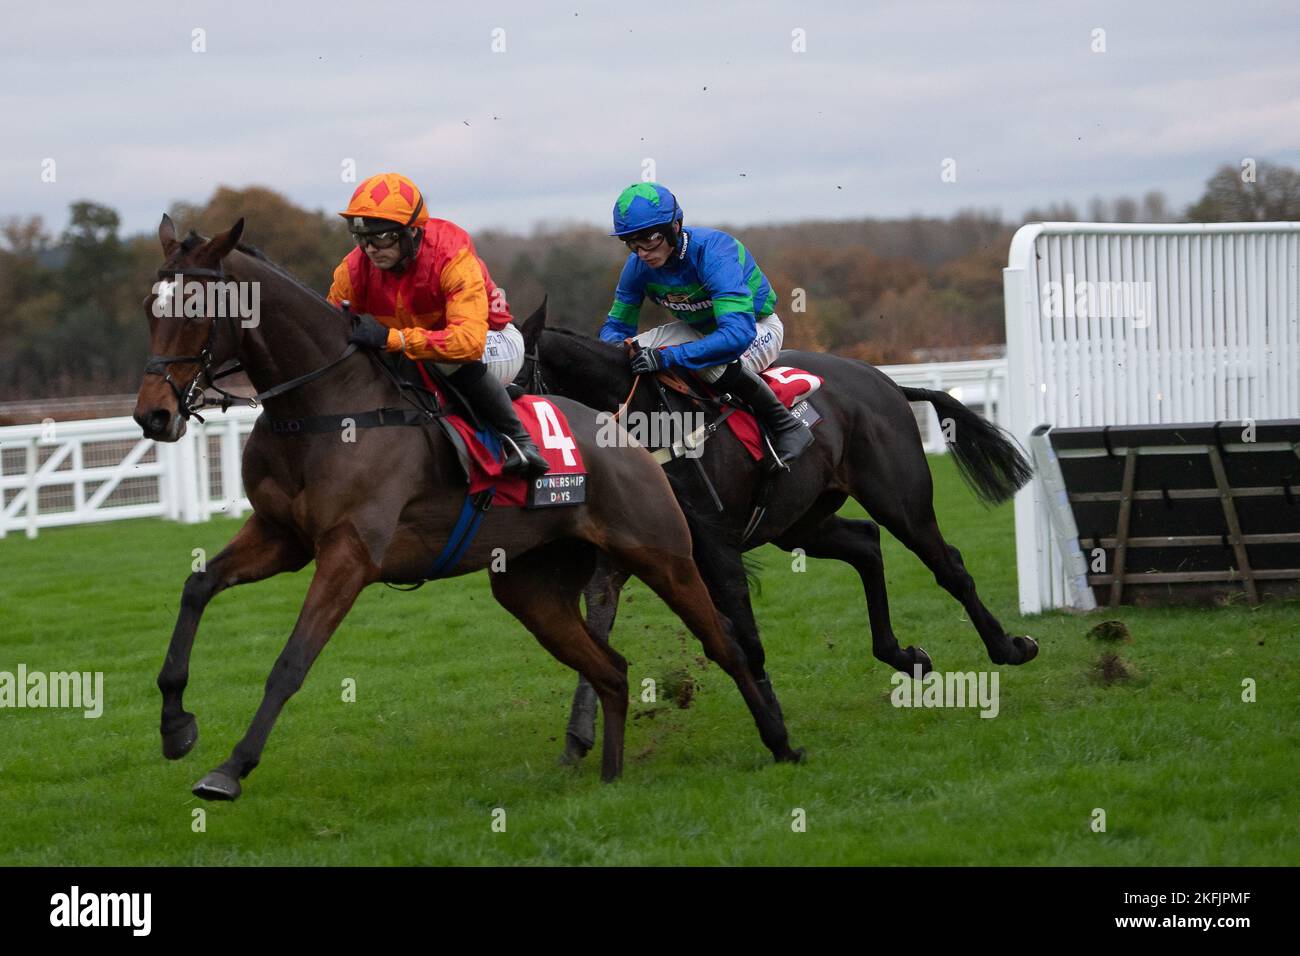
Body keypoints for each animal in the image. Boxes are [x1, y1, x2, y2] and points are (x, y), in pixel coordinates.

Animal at [131, 217, 800, 801]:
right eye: (149, 308)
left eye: (197, 309)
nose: (153, 415)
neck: (325, 407)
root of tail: (630, 437)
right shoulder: (281, 536)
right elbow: (197, 586)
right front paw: (175, 724)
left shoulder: (349, 553)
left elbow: (291, 662)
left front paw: (230, 769)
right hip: (532, 588)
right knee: (611, 668)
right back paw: (610, 774)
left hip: (662, 553)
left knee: (725, 643)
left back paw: (782, 743)